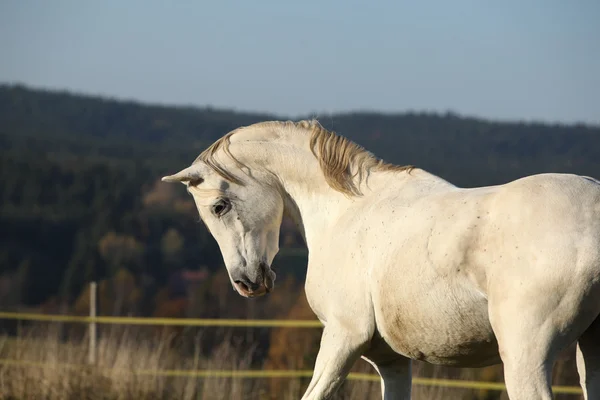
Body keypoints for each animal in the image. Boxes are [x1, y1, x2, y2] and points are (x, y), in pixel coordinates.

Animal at [162, 120, 600, 398]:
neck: (347, 212)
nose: (246, 282)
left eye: (218, 206)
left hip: (526, 357)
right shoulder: (391, 361)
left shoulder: (342, 337)